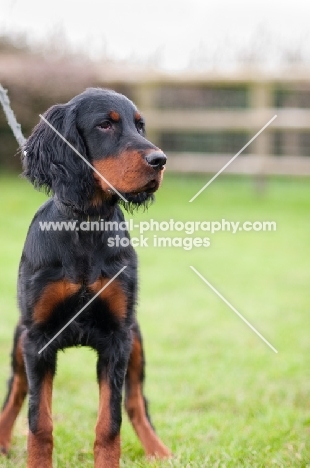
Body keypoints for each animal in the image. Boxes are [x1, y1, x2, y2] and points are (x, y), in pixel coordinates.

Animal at [0, 88, 170, 468]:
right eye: (105, 124)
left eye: (140, 125)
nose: (160, 160)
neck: (85, 226)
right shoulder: (38, 338)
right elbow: (39, 422)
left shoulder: (117, 338)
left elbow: (110, 422)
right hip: (20, 338)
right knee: (15, 391)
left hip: (136, 340)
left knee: (136, 401)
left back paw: (158, 450)